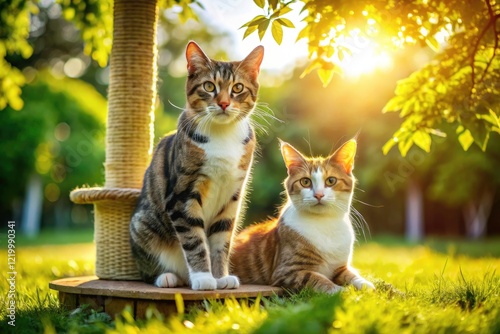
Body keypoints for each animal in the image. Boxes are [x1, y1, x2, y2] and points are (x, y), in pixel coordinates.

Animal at [131, 41, 266, 290]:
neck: (222, 135)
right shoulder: (182, 194)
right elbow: (194, 240)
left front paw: (221, 277)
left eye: (238, 88)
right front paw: (204, 277)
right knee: (147, 269)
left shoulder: (231, 196)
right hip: (143, 224)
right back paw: (167, 277)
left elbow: (221, 240)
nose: (223, 103)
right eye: (209, 86)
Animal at [230, 138, 376, 292]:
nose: (319, 195)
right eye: (305, 182)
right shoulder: (287, 271)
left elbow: (350, 274)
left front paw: (364, 284)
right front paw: (339, 290)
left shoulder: (339, 268)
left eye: (331, 180)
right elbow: (316, 278)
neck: (324, 223)